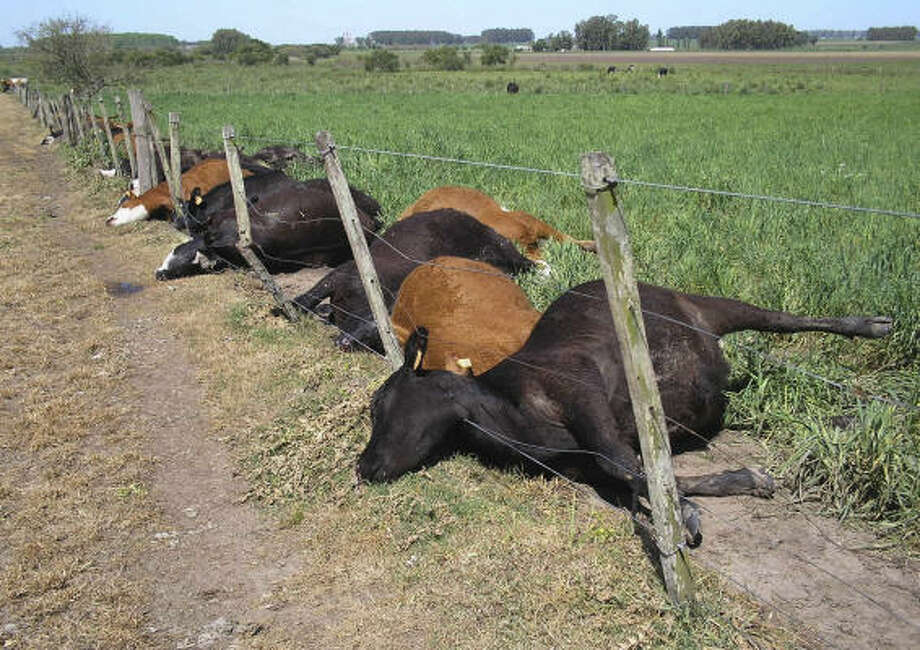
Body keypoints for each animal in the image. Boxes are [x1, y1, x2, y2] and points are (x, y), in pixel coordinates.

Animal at [357, 280, 892, 546]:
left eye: (380, 403)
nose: (364, 465)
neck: (512, 421)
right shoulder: (588, 460)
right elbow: (648, 474)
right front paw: (745, 480)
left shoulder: (581, 385)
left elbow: (625, 465)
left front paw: (686, 517)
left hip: (709, 304)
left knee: (779, 318)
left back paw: (872, 330)